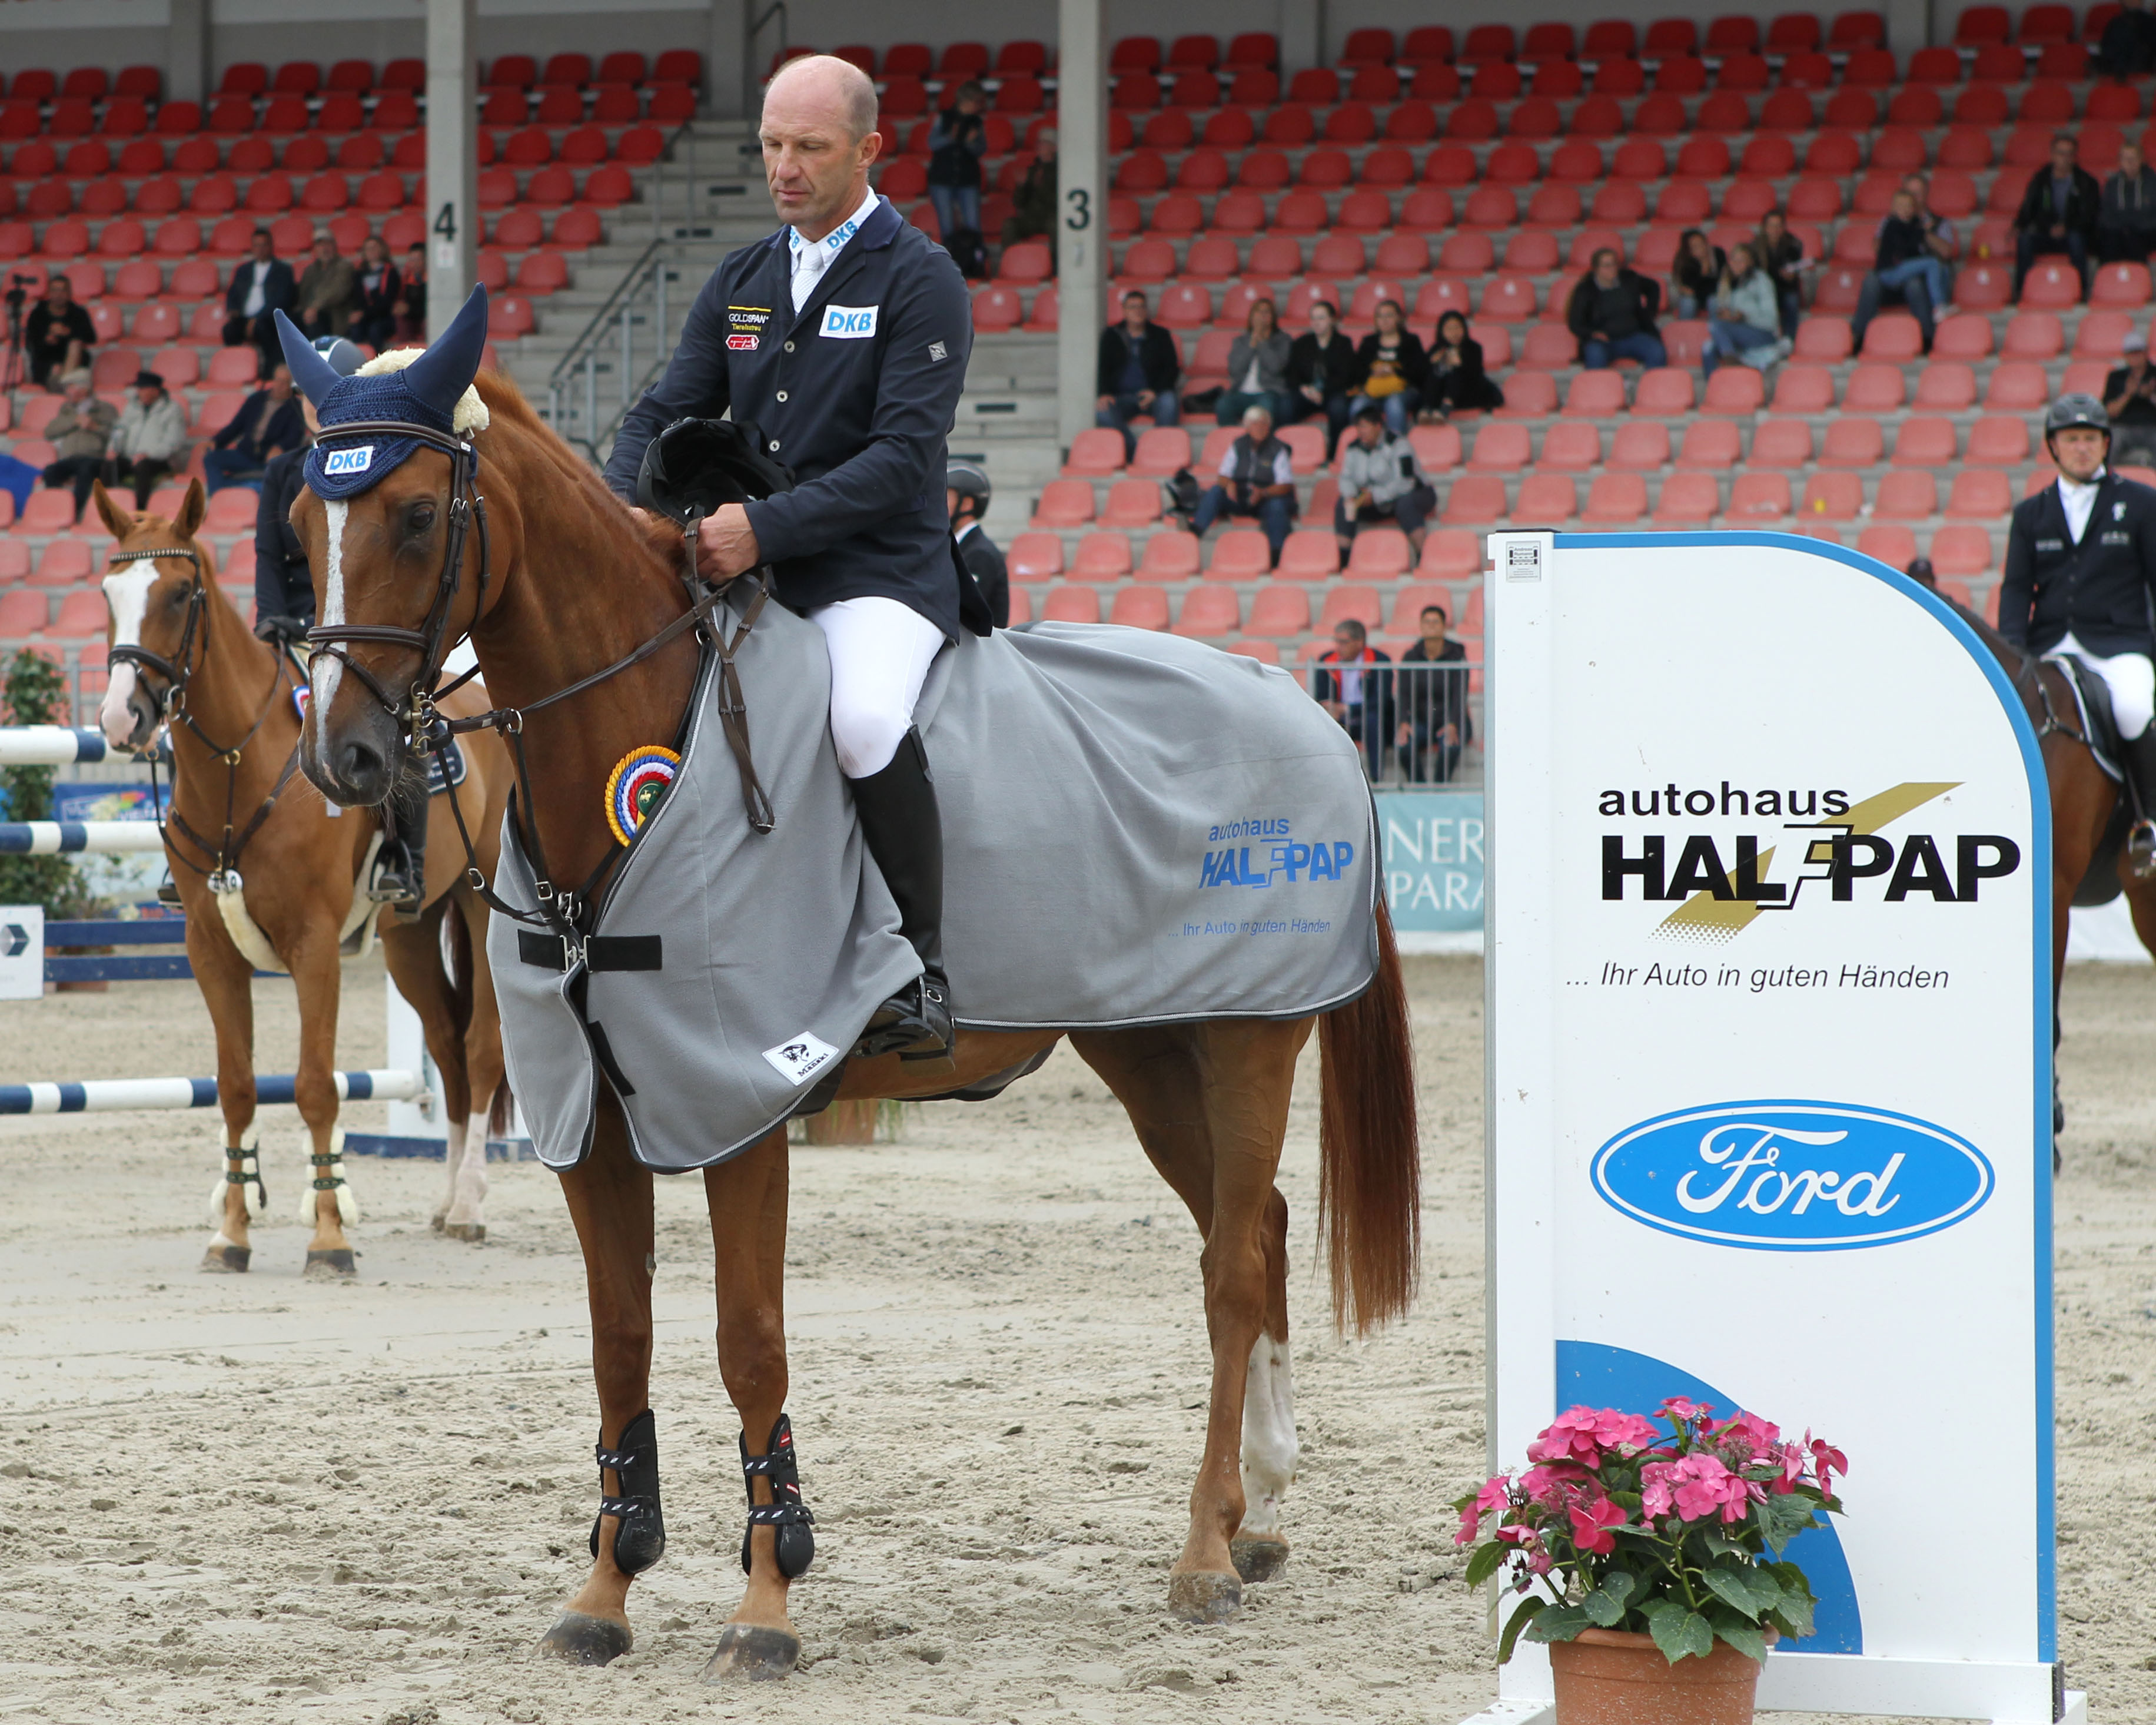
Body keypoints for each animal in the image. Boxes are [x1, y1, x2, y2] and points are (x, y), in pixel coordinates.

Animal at [92, 479, 517, 1276]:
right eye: (109, 591)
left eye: (180, 593)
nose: (119, 717)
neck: (241, 767)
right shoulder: (209, 950)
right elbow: (236, 1087)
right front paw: (231, 1233)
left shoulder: (315, 946)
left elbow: (316, 1086)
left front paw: (329, 1235)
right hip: (412, 935)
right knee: (447, 1047)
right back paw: (447, 1198)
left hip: (479, 913)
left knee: (480, 1047)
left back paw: (473, 1206)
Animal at [291, 370, 1431, 1681]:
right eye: (299, 524)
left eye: (420, 515)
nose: (342, 756)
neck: (646, 732)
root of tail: (1293, 697)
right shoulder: (591, 1122)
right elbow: (619, 1338)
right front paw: (605, 1588)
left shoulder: (739, 1103)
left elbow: (748, 1339)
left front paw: (765, 1603)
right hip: (1146, 1045)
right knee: (1266, 1231)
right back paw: (1263, 1513)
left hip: (1248, 1041)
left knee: (1234, 1268)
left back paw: (1205, 1550)